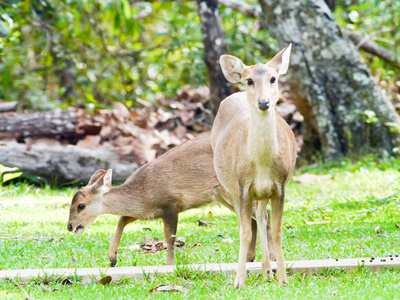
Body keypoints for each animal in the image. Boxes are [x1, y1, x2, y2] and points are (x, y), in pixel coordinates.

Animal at [68, 137, 276, 266]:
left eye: (81, 206)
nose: (69, 226)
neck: (142, 192)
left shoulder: (169, 205)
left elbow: (170, 237)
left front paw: (169, 265)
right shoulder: (147, 211)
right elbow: (122, 220)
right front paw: (112, 258)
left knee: (263, 215)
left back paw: (271, 258)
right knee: (252, 219)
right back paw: (250, 258)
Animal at [211, 43, 296, 288]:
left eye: (273, 78)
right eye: (249, 80)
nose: (264, 102)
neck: (262, 166)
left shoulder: (280, 186)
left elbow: (276, 230)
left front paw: (283, 279)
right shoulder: (242, 186)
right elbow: (245, 233)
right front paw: (239, 281)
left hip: (262, 193)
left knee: (261, 216)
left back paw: (267, 271)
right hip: (230, 186)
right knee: (246, 222)